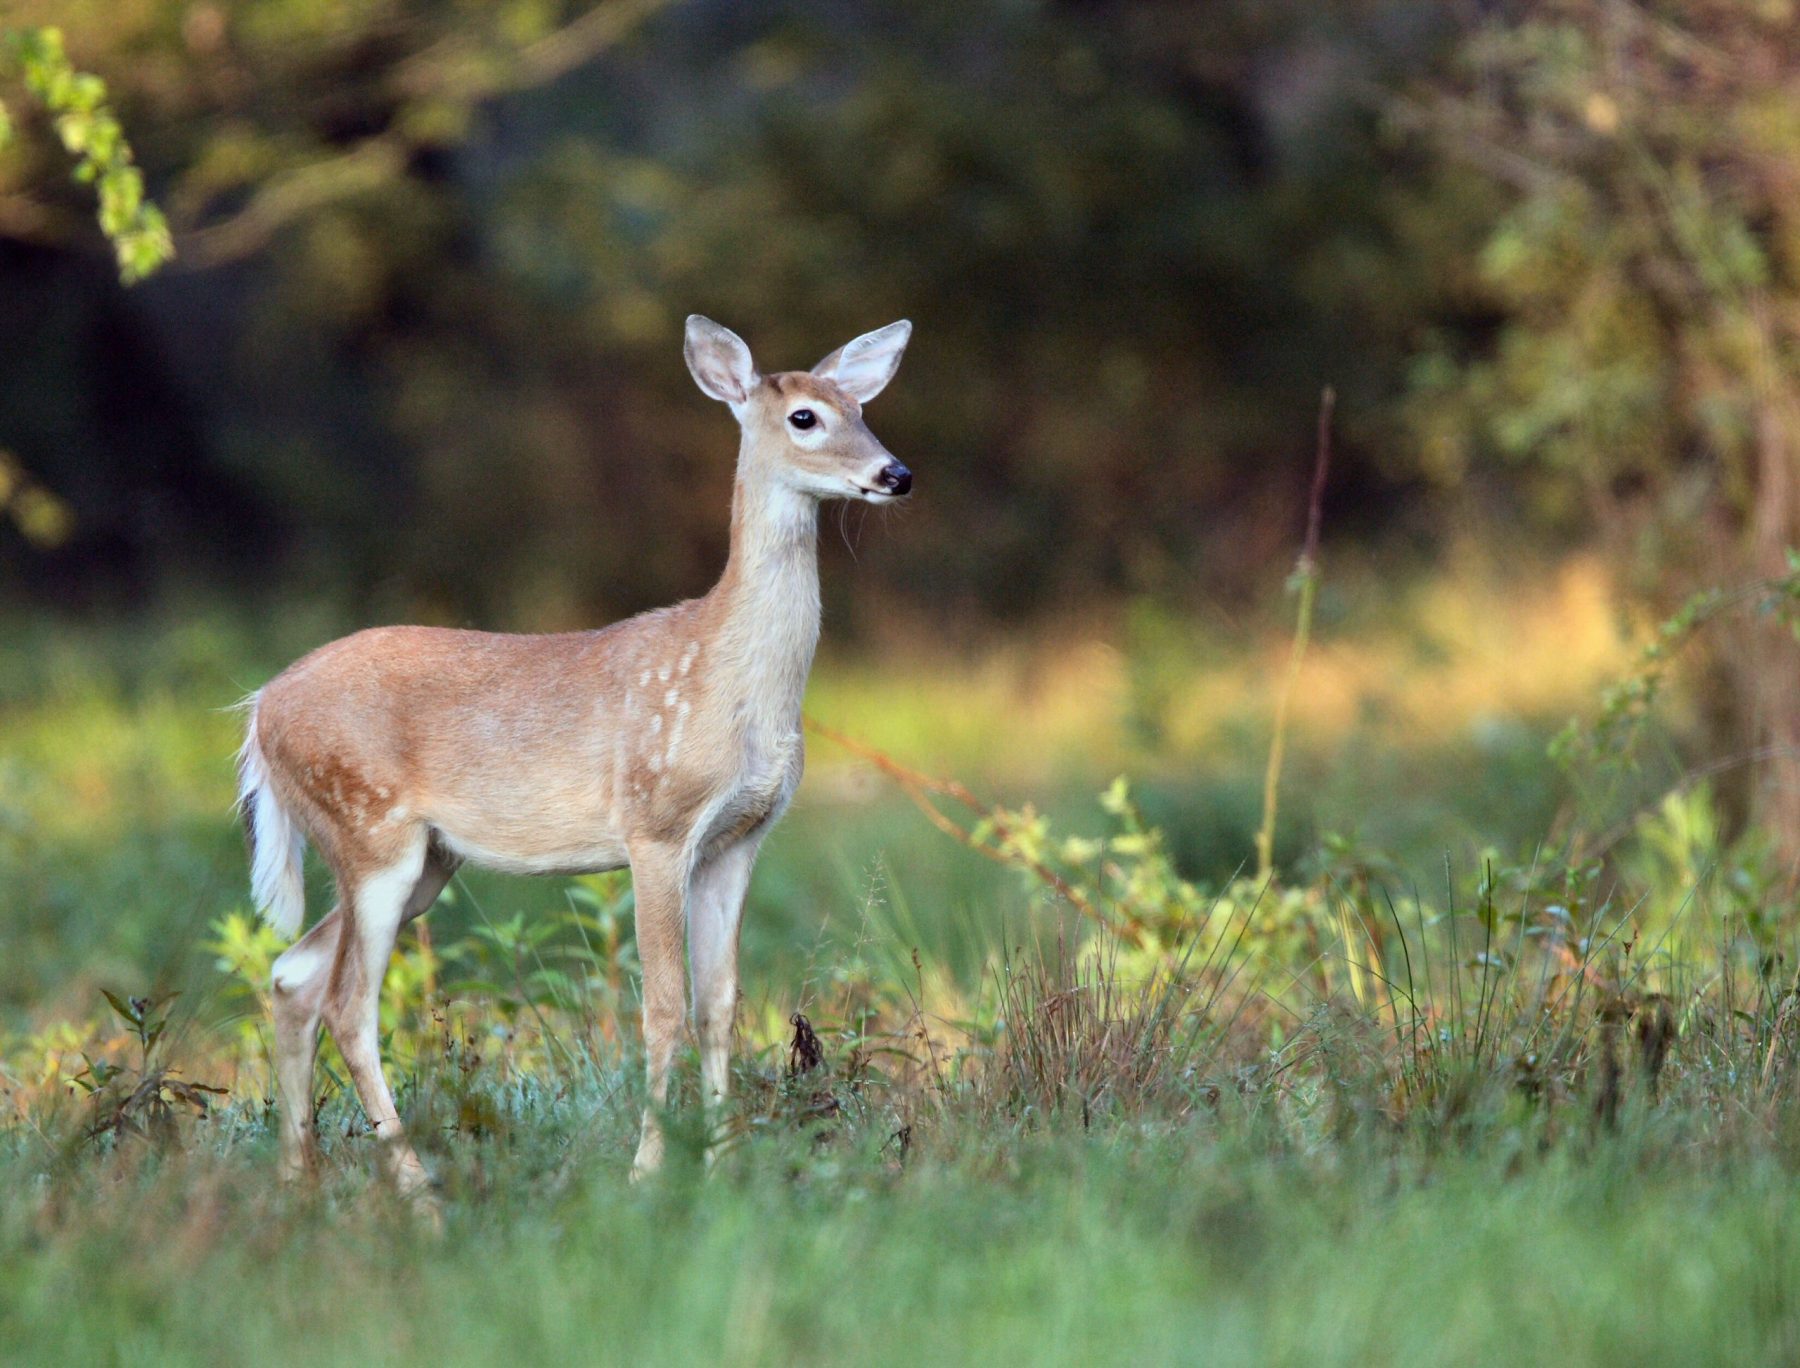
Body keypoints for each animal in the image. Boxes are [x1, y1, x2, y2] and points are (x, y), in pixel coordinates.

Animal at [235, 315, 914, 1195]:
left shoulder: (739, 838)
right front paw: (648, 1171)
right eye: (805, 416)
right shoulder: (656, 824)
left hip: (423, 861)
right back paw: (416, 1188)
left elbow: (718, 1003)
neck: (727, 674)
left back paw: (300, 1179)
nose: (895, 473)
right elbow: (661, 1005)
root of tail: (259, 711)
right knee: (349, 1004)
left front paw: (724, 1162)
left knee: (293, 975)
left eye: (860, 407)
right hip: (367, 830)